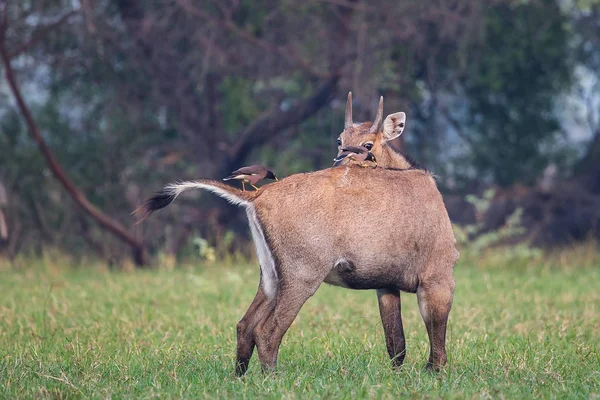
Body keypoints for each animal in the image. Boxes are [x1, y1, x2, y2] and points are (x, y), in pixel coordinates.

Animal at [134, 97, 458, 376]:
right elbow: (436, 335)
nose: (339, 162)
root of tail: (257, 196)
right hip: (302, 277)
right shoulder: (438, 277)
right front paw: (435, 374)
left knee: (244, 326)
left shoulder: (385, 285)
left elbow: (396, 343)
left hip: (270, 278)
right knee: (267, 331)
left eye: (368, 144)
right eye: (340, 140)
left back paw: (240, 378)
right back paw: (271, 380)